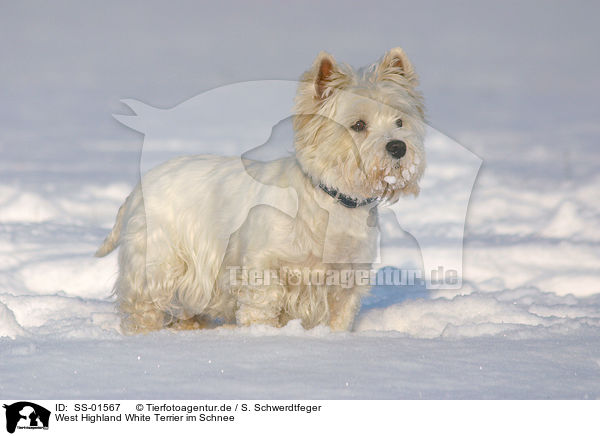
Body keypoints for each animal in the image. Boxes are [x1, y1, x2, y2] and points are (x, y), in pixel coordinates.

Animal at [96, 47, 424, 334]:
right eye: (358, 125)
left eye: (400, 121)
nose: (398, 147)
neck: (333, 201)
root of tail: (140, 186)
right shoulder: (264, 268)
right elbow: (261, 309)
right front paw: (261, 337)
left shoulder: (346, 279)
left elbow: (339, 319)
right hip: (158, 260)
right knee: (143, 305)